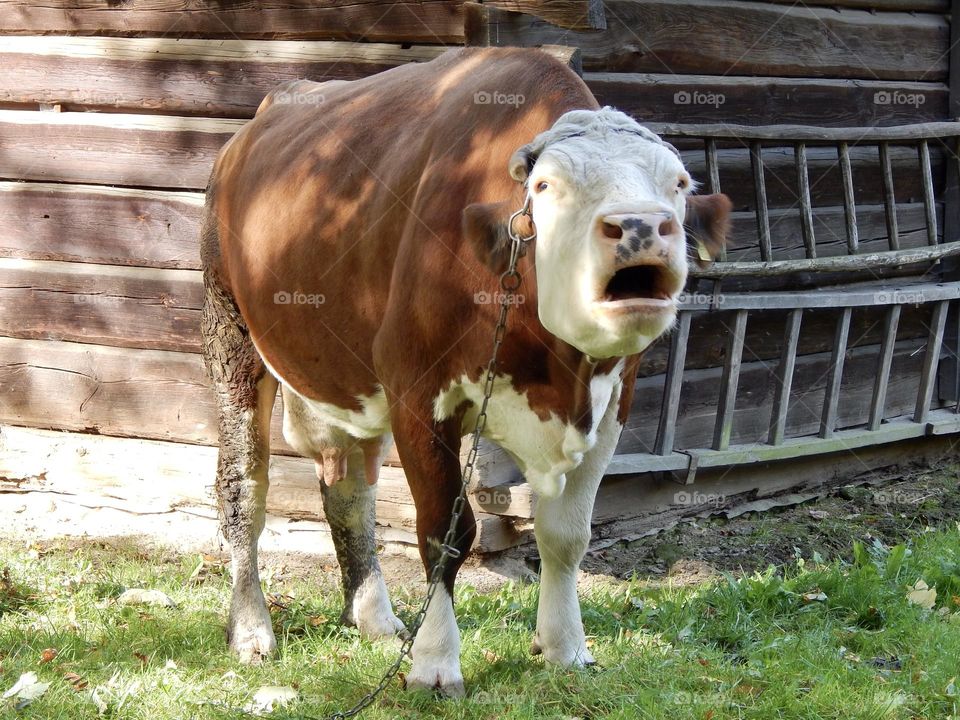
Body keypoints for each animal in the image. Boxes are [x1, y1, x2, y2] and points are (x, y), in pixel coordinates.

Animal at [200, 46, 730, 697]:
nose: (640, 225)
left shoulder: (611, 408)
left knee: (349, 488)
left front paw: (565, 647)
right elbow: (445, 534)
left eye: (678, 183)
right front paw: (434, 663)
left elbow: (566, 535)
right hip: (230, 331)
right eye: (546, 186)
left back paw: (374, 617)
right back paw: (252, 628)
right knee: (242, 489)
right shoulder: (417, 392)